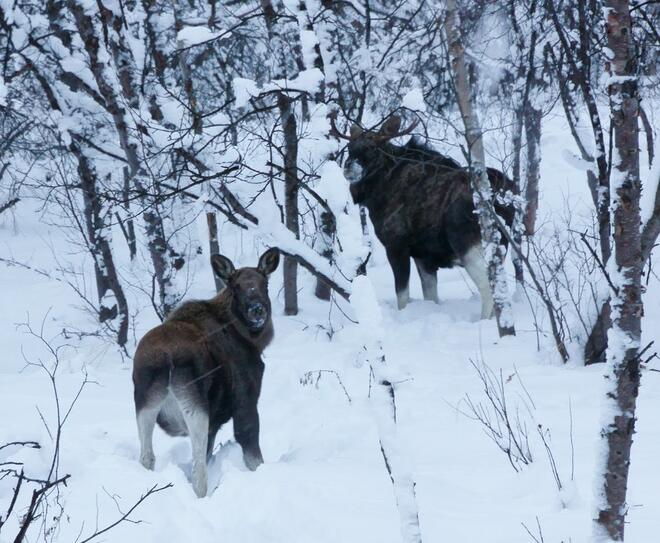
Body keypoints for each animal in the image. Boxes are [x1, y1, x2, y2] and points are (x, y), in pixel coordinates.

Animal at [133, 249, 280, 500]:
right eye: (236, 286)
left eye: (265, 283)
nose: (257, 310)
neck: (251, 340)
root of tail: (166, 358)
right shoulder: (246, 400)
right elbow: (251, 449)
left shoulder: (215, 422)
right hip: (195, 406)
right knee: (198, 470)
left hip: (145, 403)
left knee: (147, 456)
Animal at [338, 116, 520, 316]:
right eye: (349, 147)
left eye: (372, 148)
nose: (348, 166)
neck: (378, 192)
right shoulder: (424, 257)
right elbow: (431, 296)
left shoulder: (396, 245)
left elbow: (402, 295)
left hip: (467, 243)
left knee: (488, 286)